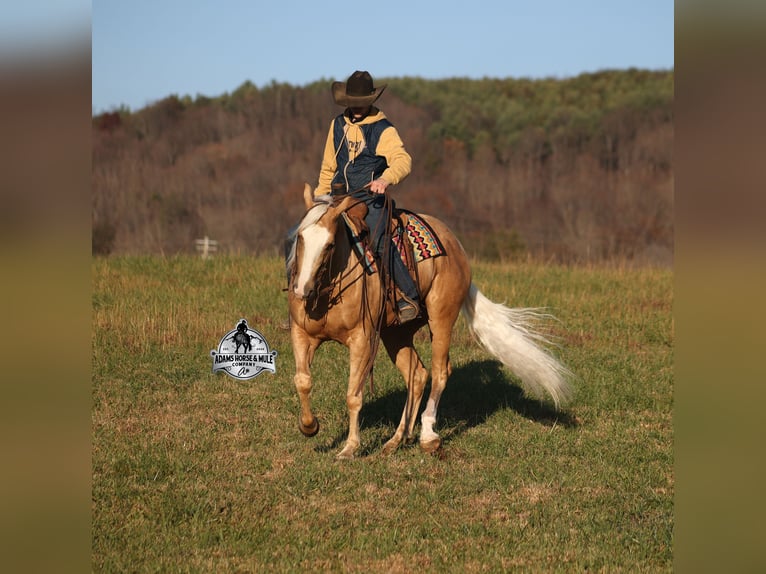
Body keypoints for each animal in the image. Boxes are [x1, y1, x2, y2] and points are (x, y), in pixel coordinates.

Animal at [287, 184, 572, 459]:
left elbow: (354, 395)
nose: (302, 289)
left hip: (441, 320)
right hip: (396, 333)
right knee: (417, 374)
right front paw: (309, 426)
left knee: (439, 373)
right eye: (300, 238)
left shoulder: (362, 340)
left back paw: (427, 436)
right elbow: (302, 380)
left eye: (330, 245)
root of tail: (456, 247)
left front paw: (349, 448)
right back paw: (396, 440)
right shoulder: (301, 334)